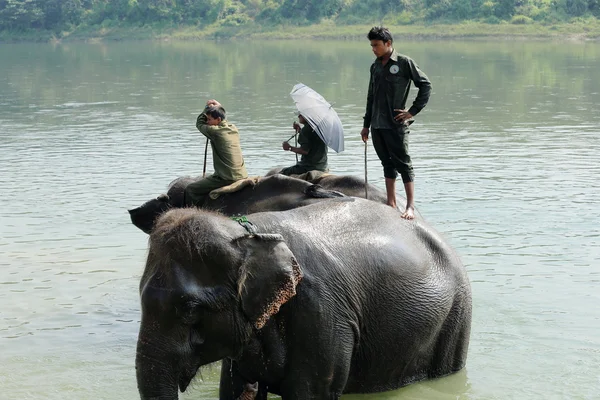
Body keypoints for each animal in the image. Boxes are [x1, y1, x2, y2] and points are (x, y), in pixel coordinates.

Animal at [136, 197, 474, 400]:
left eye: (191, 309)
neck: (246, 233)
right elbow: (233, 390)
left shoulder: (320, 312)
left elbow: (309, 393)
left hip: (457, 315)